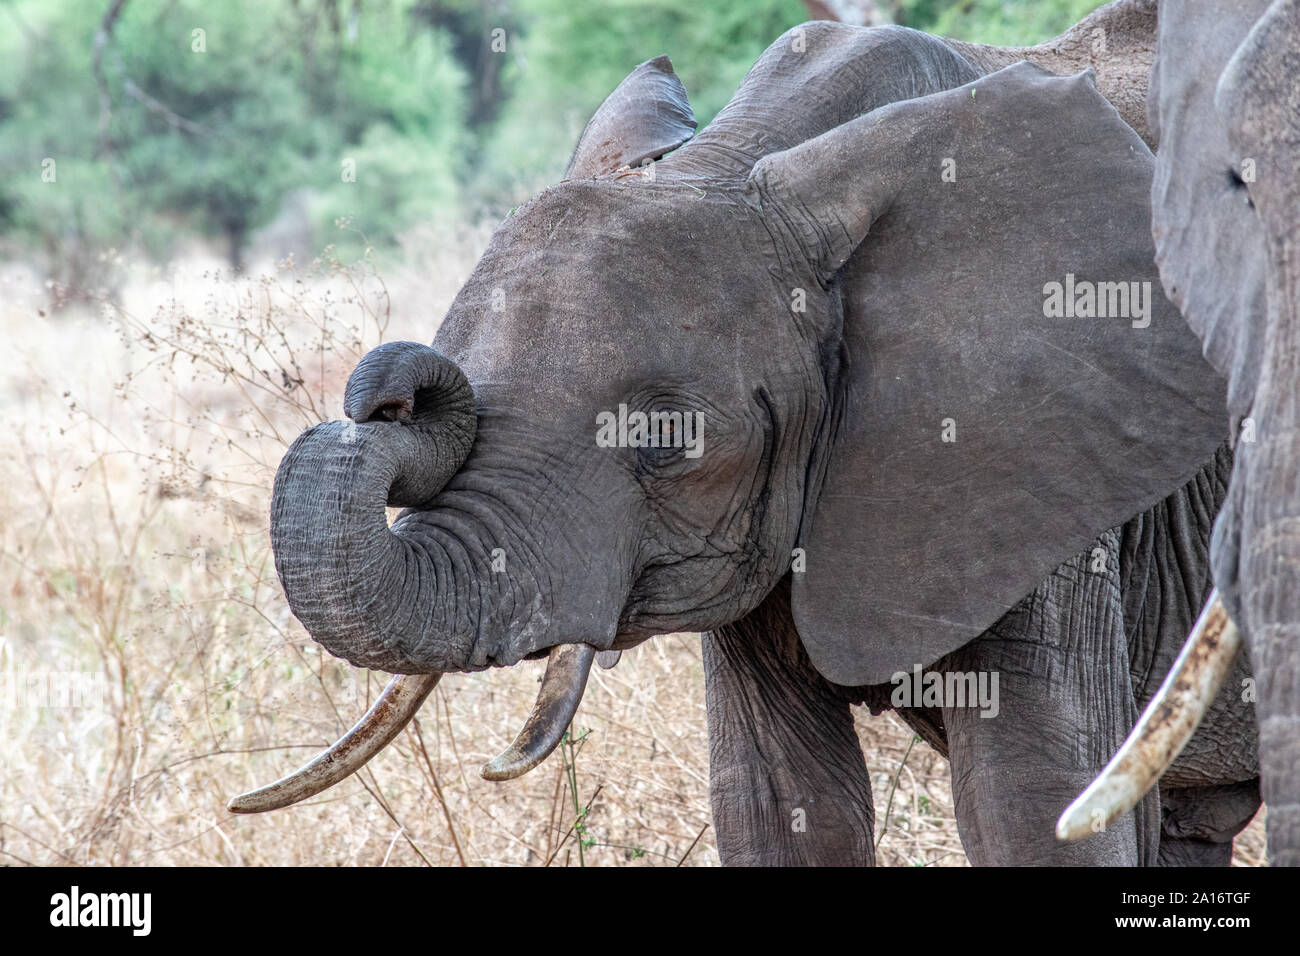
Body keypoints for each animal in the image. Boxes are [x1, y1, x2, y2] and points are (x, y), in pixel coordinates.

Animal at [227, 3, 1262, 864]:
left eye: (669, 438)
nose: (390, 395)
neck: (743, 159)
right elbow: (780, 804)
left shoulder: (1043, 461)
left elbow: (1037, 800)